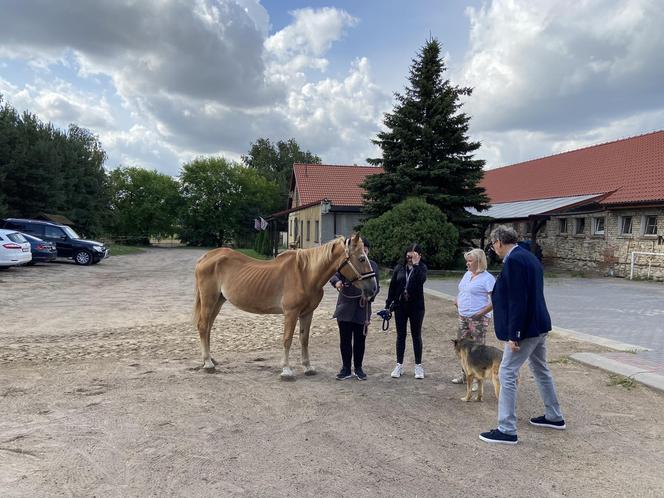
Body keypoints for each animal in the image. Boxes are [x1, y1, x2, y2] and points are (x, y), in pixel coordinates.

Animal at [193, 232, 378, 378]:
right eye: (362, 258)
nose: (373, 288)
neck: (305, 274)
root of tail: (207, 257)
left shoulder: (307, 313)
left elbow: (304, 339)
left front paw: (308, 367)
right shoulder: (291, 313)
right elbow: (287, 339)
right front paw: (286, 370)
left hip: (218, 301)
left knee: (208, 327)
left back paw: (210, 359)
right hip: (209, 300)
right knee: (203, 326)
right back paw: (208, 363)